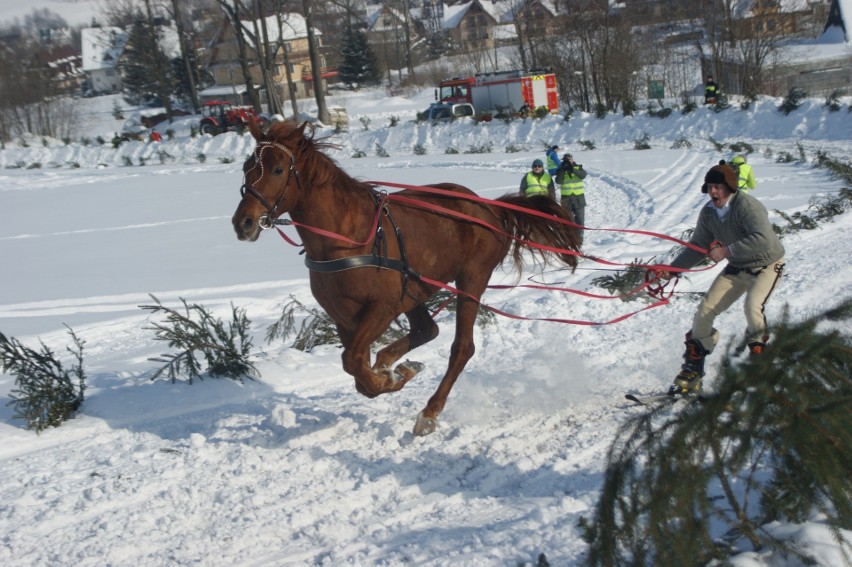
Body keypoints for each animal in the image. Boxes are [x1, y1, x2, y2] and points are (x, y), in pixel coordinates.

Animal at [230, 122, 584, 438]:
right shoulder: (344, 317)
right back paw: (397, 364)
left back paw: (429, 411)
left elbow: (354, 361)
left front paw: (389, 379)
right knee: (427, 329)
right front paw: (392, 372)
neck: (346, 238)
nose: (243, 222)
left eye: (278, 170)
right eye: (247, 168)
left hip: (471, 279)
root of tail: (489, 208)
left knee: (461, 347)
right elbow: (355, 368)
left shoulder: (383, 307)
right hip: (413, 287)